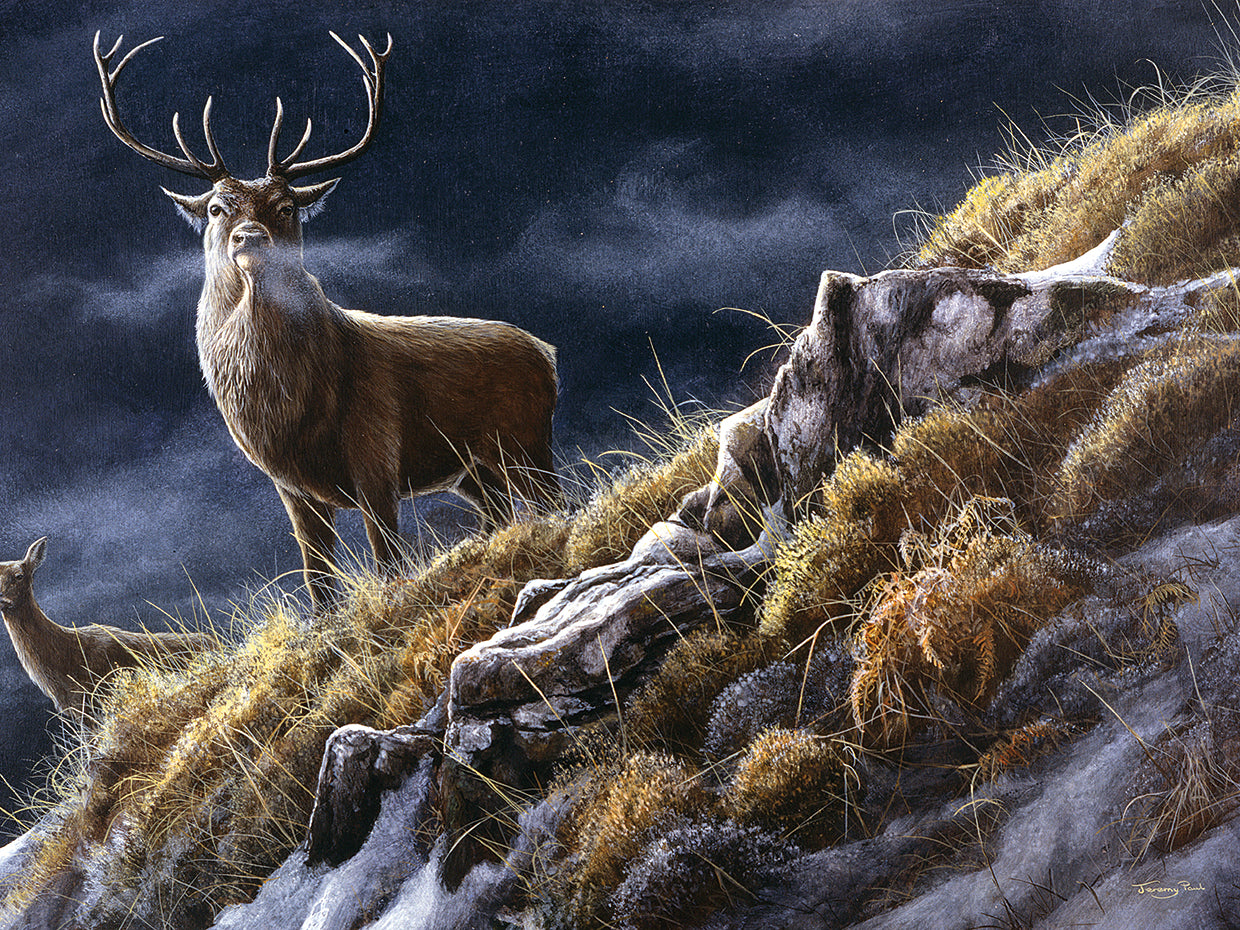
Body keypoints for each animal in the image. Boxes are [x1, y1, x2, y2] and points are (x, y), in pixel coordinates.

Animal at [93, 32, 561, 607]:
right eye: (217, 208)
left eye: (286, 206)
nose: (249, 238)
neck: (288, 410)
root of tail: (547, 353)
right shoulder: (290, 485)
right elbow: (317, 578)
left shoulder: (377, 445)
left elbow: (388, 559)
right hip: (474, 469)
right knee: (501, 513)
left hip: (527, 435)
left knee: (556, 501)